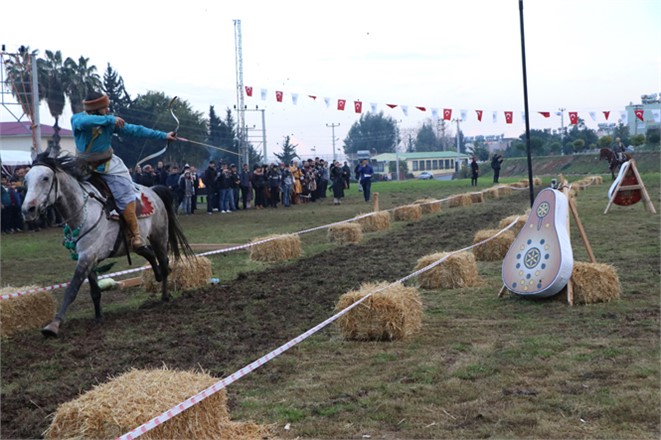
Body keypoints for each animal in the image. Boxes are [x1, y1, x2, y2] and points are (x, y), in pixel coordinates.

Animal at [20, 151, 191, 336]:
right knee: (147, 252)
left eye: (45, 178)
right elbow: (94, 291)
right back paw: (157, 275)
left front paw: (54, 324)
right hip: (138, 242)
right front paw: (98, 316)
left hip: (159, 237)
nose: (27, 210)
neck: (84, 211)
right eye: (26, 180)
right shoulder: (88, 259)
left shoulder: (87, 257)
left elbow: (72, 289)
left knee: (165, 264)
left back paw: (165, 296)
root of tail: (153, 191)